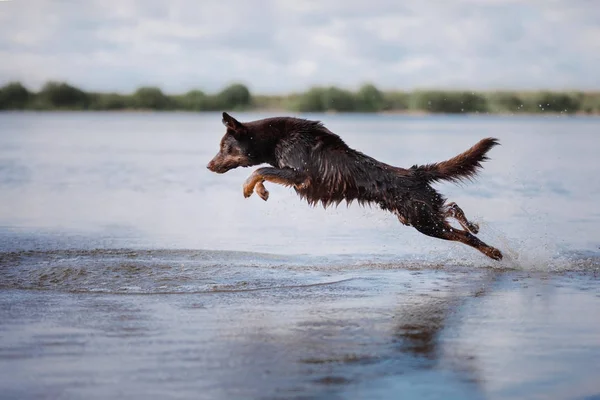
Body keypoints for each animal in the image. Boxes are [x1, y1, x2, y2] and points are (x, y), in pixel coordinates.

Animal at [206, 111, 502, 260]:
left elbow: (259, 169)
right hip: (416, 215)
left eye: (223, 148)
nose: (208, 165)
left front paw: (249, 187)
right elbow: (264, 172)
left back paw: (493, 252)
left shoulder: (300, 175)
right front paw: (261, 190)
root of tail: (414, 173)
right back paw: (473, 224)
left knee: (462, 235)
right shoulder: (291, 175)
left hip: (423, 222)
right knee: (451, 207)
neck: (276, 139)